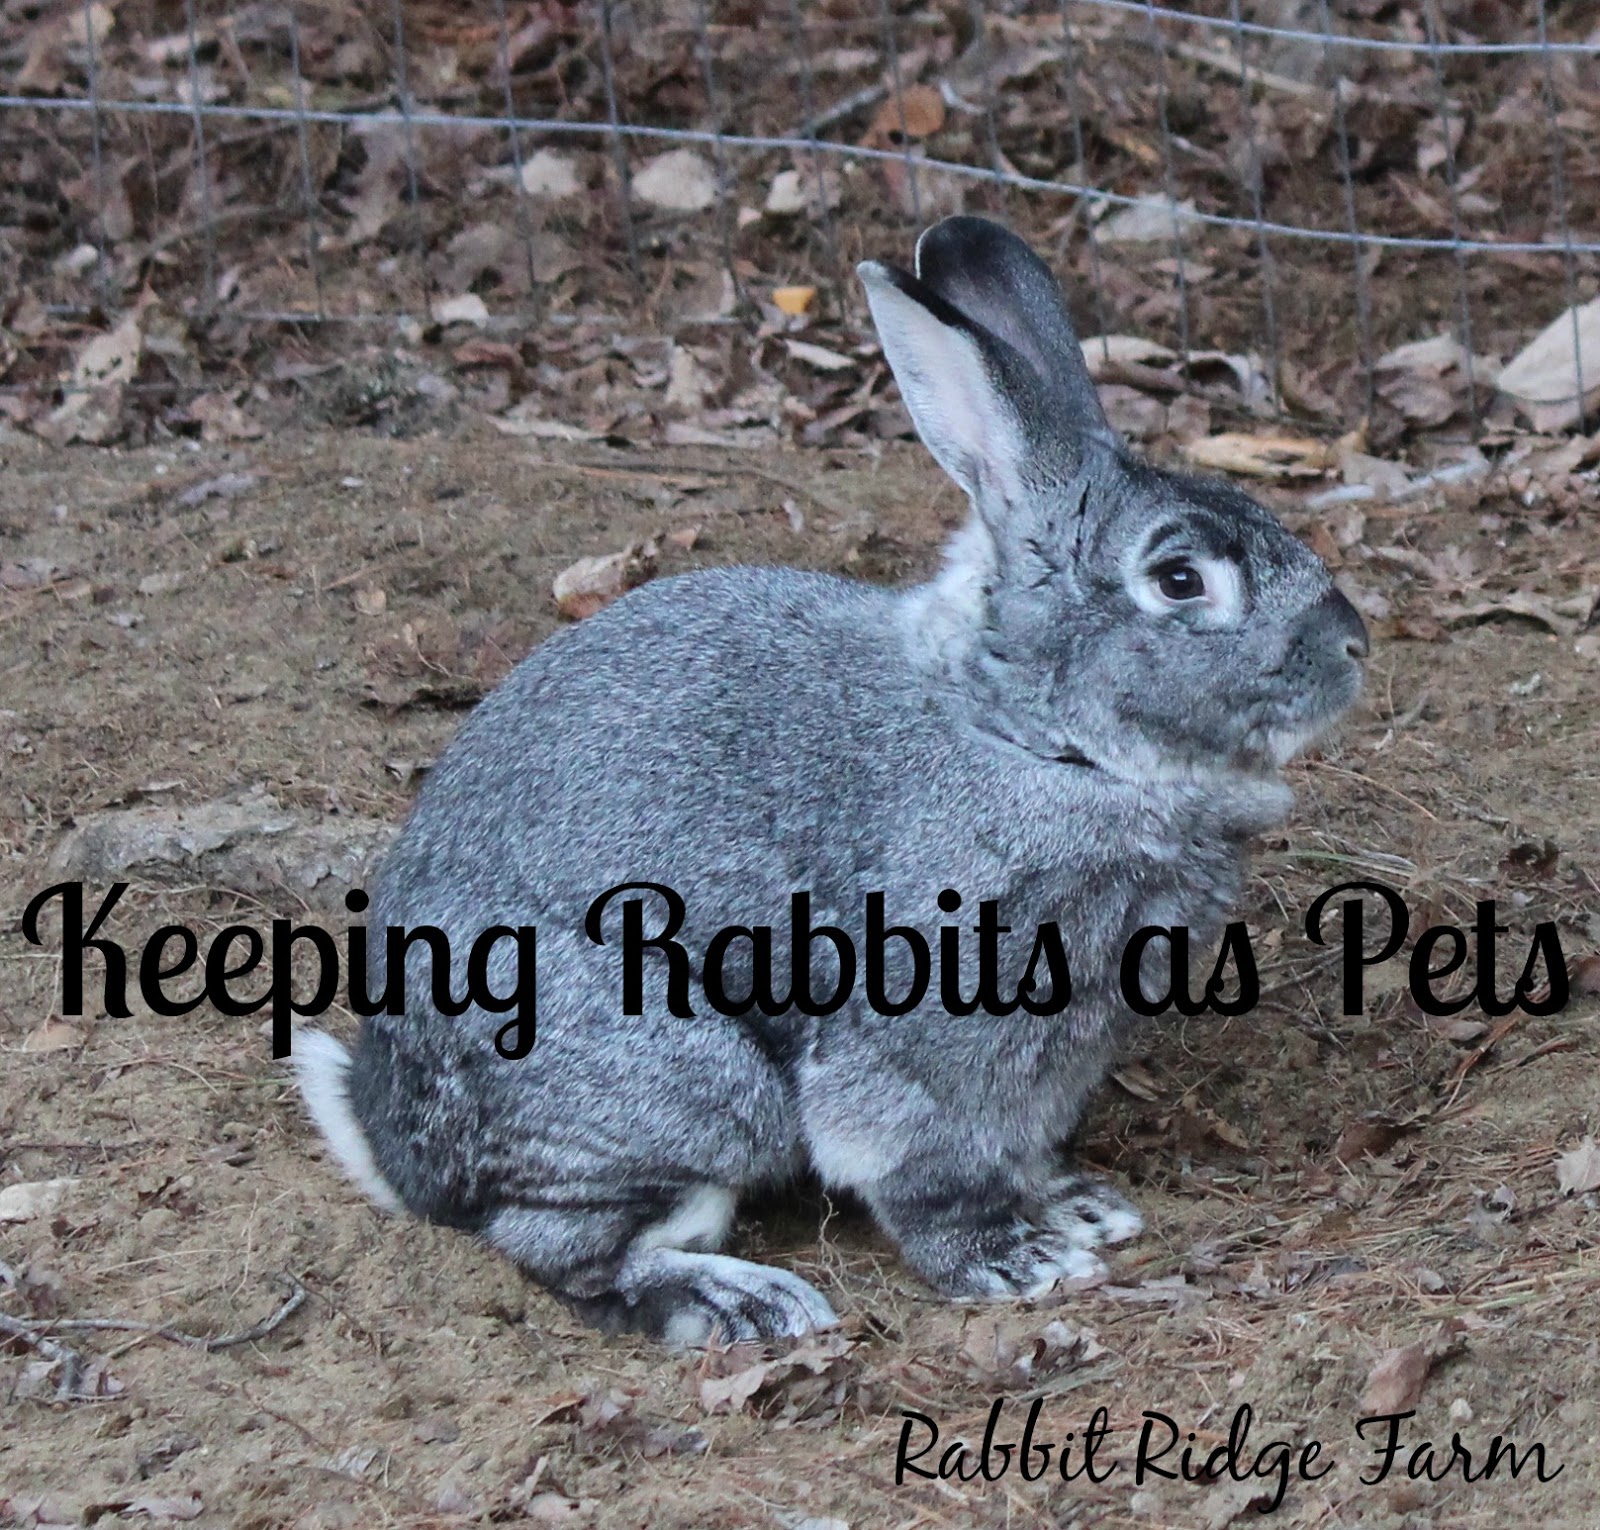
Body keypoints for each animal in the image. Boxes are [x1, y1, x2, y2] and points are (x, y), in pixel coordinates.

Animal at [294, 215, 1367, 1346]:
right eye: (1179, 580)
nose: (1353, 646)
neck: (1025, 731)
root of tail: (394, 1146)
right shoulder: (928, 1021)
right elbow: (915, 1159)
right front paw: (1011, 1259)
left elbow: (1022, 1141)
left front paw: (1074, 1205)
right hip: (677, 1087)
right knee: (564, 1250)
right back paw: (736, 1301)